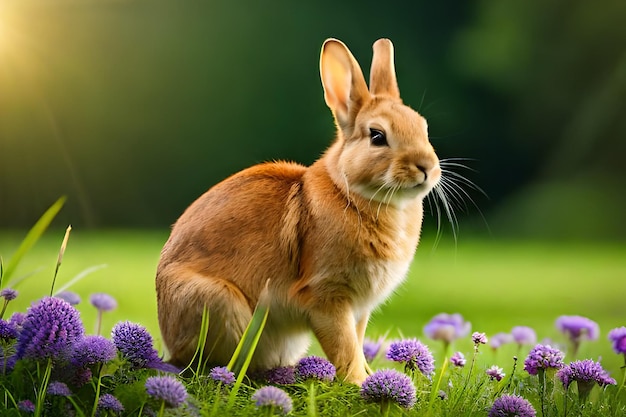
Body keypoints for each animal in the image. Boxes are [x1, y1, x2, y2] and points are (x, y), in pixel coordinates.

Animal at [155, 37, 438, 382]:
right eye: (377, 136)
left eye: (423, 127)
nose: (426, 167)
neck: (353, 193)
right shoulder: (326, 298)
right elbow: (345, 349)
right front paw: (358, 384)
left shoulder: (359, 310)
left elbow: (356, 344)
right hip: (220, 303)